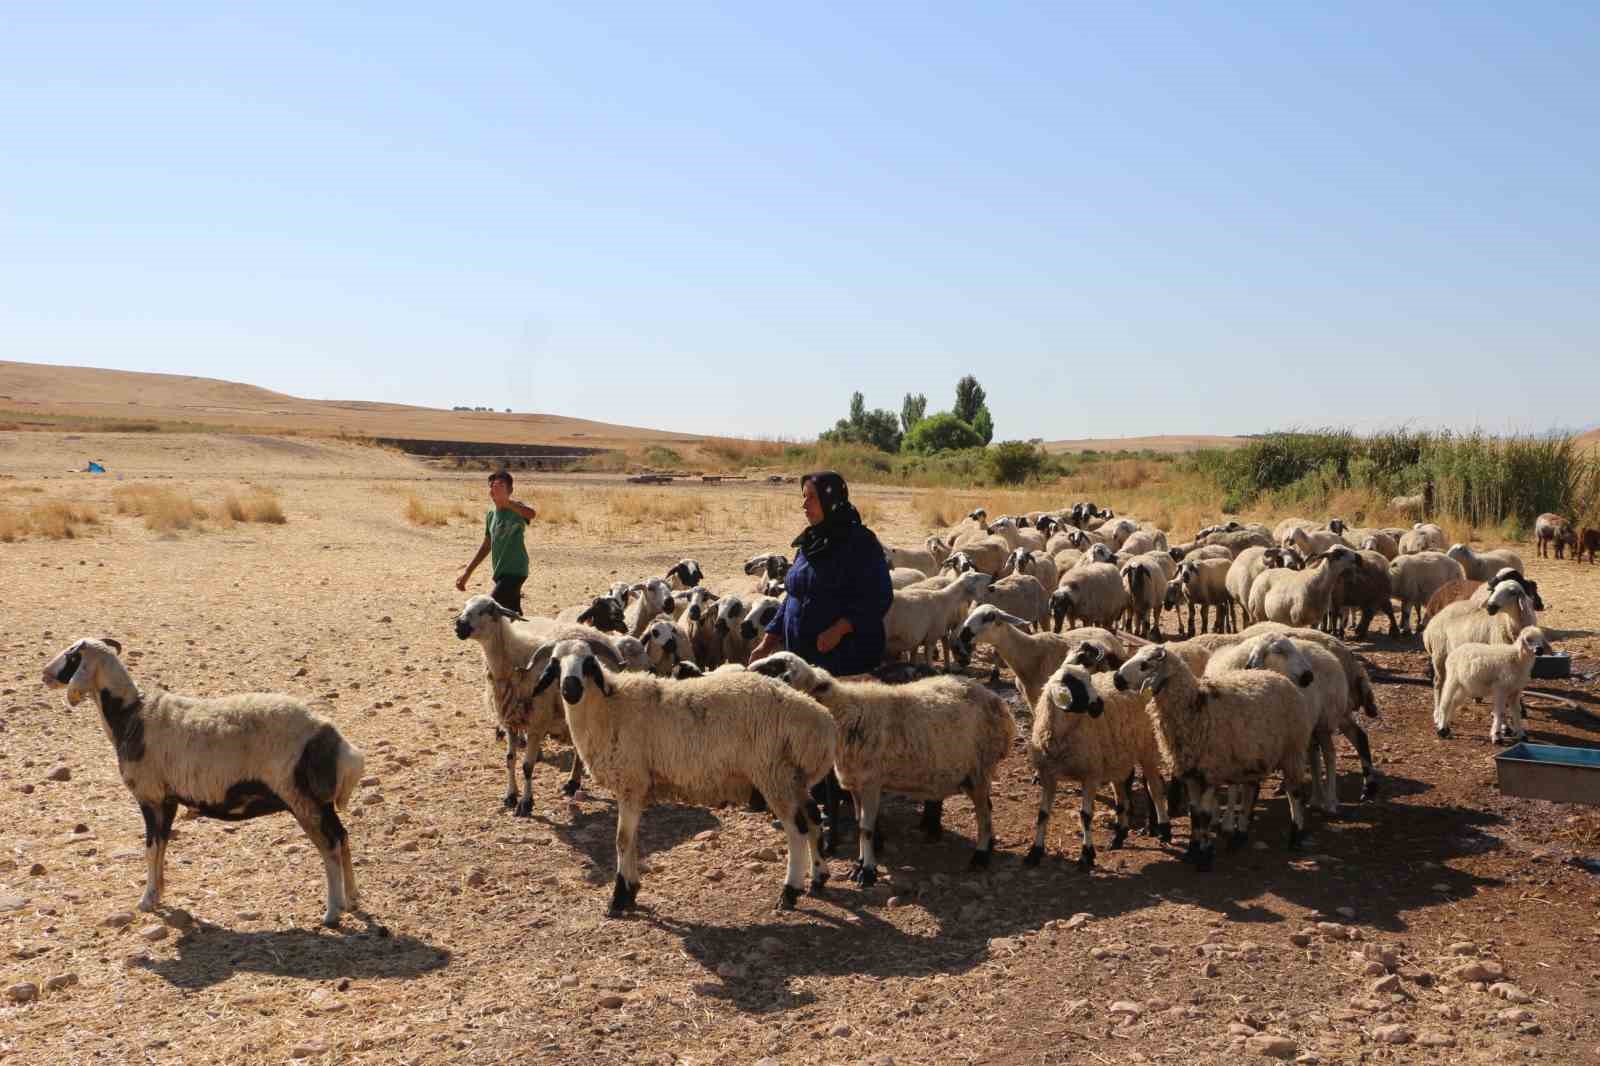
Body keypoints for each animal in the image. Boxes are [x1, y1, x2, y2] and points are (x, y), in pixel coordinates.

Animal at [531, 633, 844, 909]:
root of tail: (823, 722)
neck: (609, 706)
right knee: (813, 817)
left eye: (588, 663)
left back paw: (789, 891)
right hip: (794, 777)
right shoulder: (636, 787)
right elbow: (632, 841)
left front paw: (619, 897)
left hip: (773, 774)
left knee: (797, 830)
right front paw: (631, 890)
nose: (570, 690)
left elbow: (622, 840)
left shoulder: (631, 782)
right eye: (555, 664)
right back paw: (819, 876)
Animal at [748, 646, 1011, 877]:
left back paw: (980, 856)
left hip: (980, 767)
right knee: (987, 808)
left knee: (983, 814)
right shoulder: (855, 782)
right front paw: (860, 863)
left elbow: (866, 829)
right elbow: (859, 823)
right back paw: (988, 846)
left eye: (775, 668)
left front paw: (867, 871)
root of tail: (995, 701)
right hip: (969, 772)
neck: (843, 711)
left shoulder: (871, 782)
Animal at [1113, 643, 1312, 870]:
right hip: (1255, 755)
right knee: (1250, 791)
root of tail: (1279, 676)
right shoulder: (1189, 772)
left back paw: (1295, 836)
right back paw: (1240, 836)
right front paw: (1192, 850)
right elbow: (1194, 813)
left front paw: (1204, 856)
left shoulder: (1210, 771)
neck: (1195, 705)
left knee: (1294, 794)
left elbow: (1205, 815)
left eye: (1145, 665)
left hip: (1293, 750)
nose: (1116, 679)